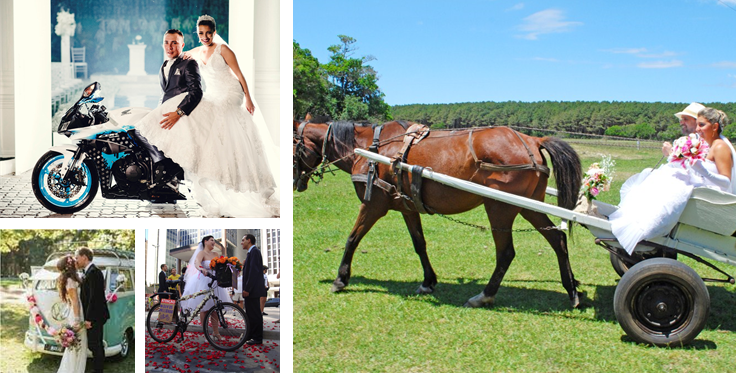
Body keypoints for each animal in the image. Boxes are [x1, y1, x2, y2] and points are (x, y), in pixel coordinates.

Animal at [292, 117, 580, 308]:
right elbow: (419, 244)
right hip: (527, 206)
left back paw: (484, 295)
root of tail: (532, 139)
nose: (296, 183)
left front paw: (341, 279)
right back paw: (572, 290)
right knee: (558, 240)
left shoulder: (373, 204)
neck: (369, 148)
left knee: (506, 253)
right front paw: (428, 281)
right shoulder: (407, 207)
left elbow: (352, 238)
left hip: (500, 207)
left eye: (293, 145)